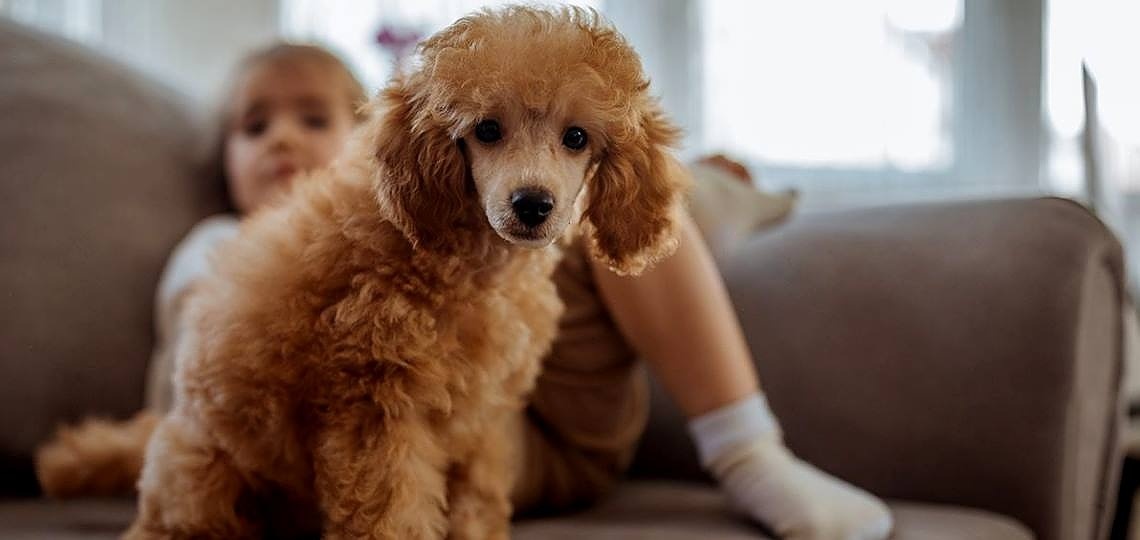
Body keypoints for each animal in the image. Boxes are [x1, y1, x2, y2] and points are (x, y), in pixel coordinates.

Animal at [122, 7, 684, 540]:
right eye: (486, 130)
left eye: (576, 137)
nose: (531, 204)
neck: (471, 260)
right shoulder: (376, 405)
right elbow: (389, 511)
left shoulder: (483, 416)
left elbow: (478, 498)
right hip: (206, 474)